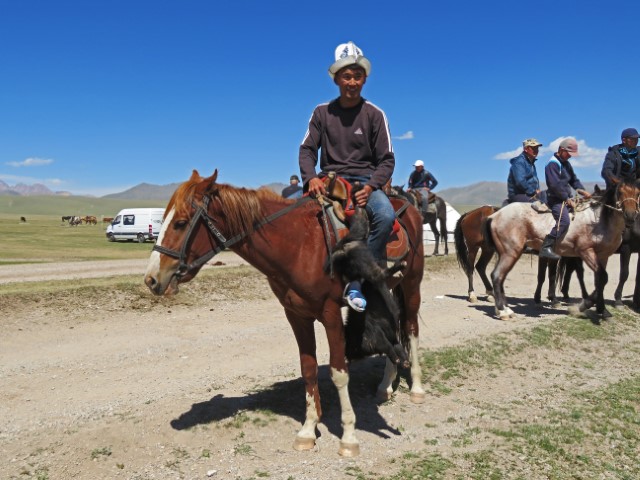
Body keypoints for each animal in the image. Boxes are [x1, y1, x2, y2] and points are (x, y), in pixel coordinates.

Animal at [143, 170, 428, 458]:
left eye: (180, 223)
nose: (152, 279)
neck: (299, 245)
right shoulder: (296, 315)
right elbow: (308, 369)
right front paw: (308, 430)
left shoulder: (331, 314)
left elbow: (339, 372)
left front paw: (348, 437)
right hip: (388, 289)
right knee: (395, 328)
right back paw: (385, 386)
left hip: (412, 285)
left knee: (411, 330)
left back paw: (416, 388)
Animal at [484, 182, 640, 320]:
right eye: (620, 192)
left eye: (638, 193)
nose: (631, 215)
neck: (598, 221)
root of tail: (495, 215)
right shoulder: (586, 252)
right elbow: (601, 277)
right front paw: (584, 305)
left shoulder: (603, 256)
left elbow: (600, 280)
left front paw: (602, 310)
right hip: (510, 252)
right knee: (497, 275)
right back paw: (503, 311)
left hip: (508, 253)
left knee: (501, 277)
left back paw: (504, 308)